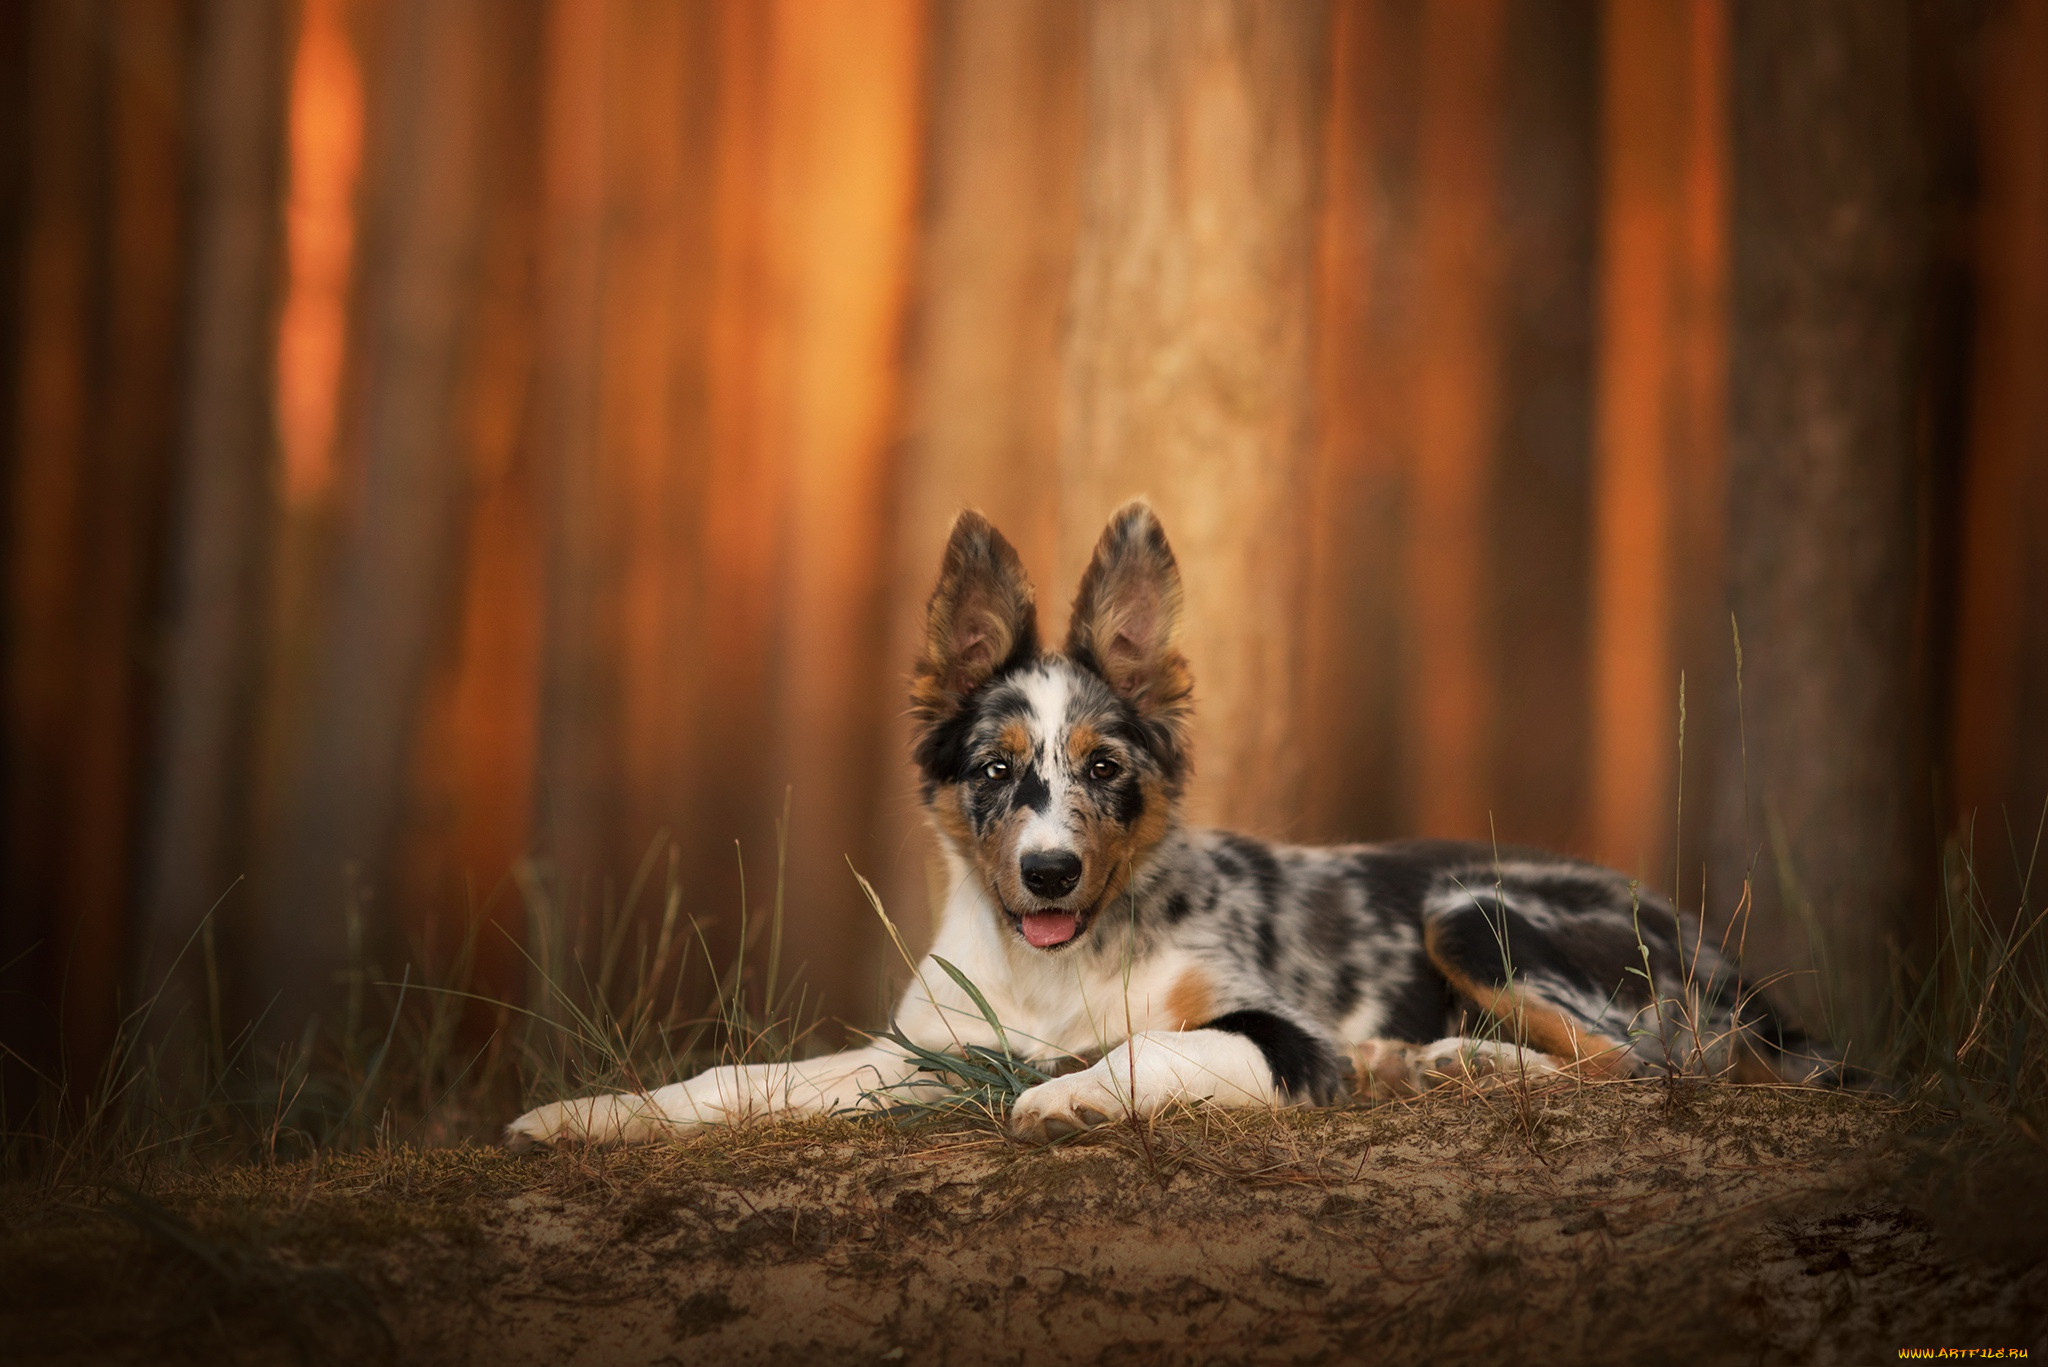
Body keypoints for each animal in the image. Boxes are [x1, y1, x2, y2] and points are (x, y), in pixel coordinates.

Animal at [507, 498, 1859, 1147]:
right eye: (993, 769)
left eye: (1105, 767)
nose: (1050, 872)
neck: (1054, 973)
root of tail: (1726, 958)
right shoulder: (924, 1050)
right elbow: (740, 1076)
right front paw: (591, 1115)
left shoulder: (1271, 1027)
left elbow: (1156, 1049)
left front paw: (1073, 1095)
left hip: (1475, 910)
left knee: (1657, 1065)